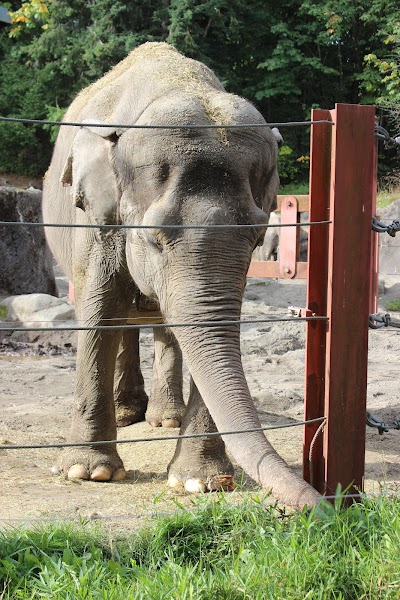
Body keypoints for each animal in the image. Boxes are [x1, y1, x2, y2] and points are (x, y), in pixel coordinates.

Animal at [42, 42, 320, 508]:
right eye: (153, 238)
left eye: (256, 236)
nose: (334, 506)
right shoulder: (96, 219)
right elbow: (100, 310)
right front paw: (89, 472)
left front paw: (200, 482)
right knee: (123, 318)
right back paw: (128, 415)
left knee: (163, 326)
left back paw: (163, 418)